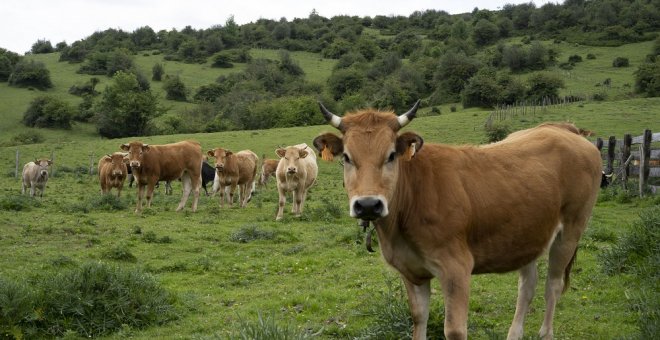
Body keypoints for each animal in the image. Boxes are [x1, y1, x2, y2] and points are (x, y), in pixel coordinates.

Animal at [314, 101, 604, 340]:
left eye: (391, 155)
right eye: (346, 157)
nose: (367, 204)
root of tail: (563, 129)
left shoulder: (457, 267)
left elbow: (454, 330)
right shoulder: (412, 271)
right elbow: (418, 319)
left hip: (571, 229)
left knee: (552, 285)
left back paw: (546, 333)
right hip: (528, 233)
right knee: (528, 285)